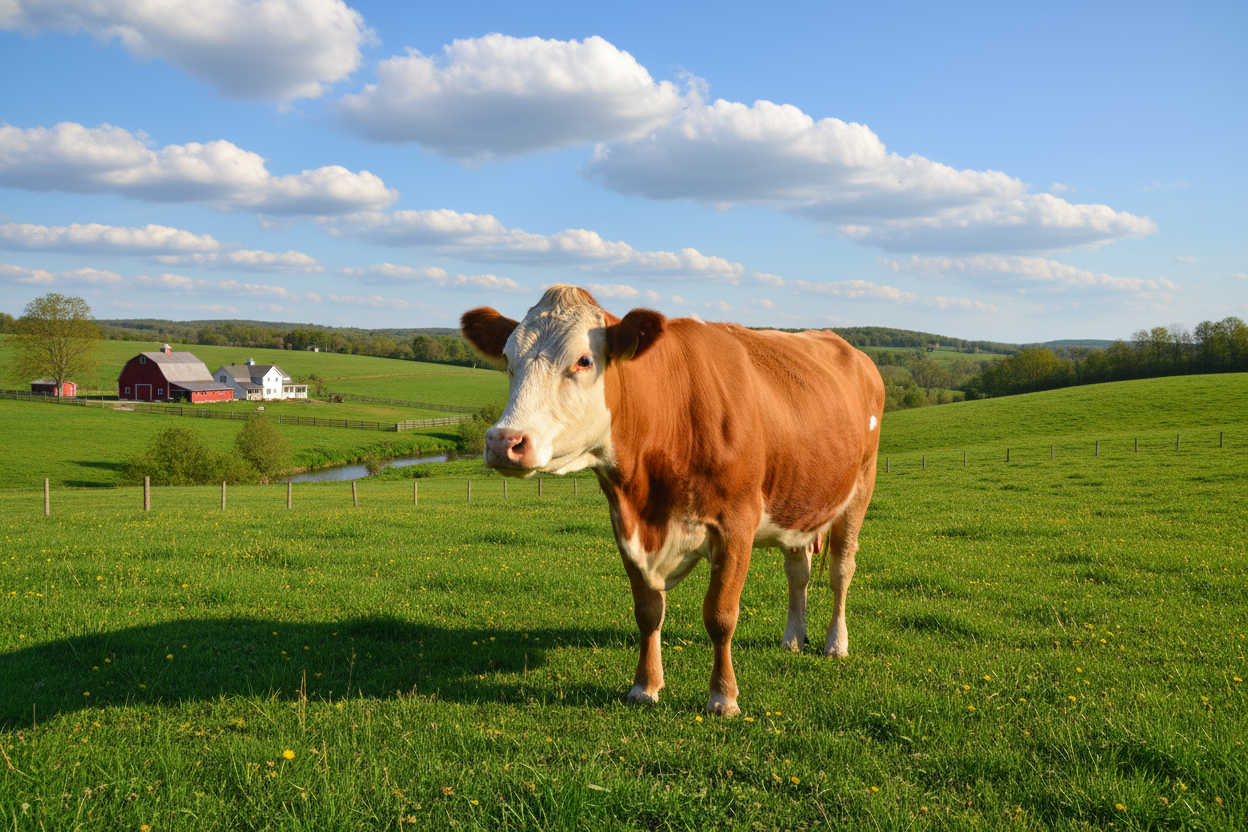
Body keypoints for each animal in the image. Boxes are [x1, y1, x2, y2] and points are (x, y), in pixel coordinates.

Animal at [461, 285, 885, 716]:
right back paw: (793, 639)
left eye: (583, 360)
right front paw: (645, 686)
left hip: (859, 490)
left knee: (841, 570)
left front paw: (723, 696)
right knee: (798, 571)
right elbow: (648, 612)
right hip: (798, 499)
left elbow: (720, 616)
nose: (503, 441)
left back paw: (836, 643)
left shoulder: (736, 525)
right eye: (509, 360)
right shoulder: (626, 526)